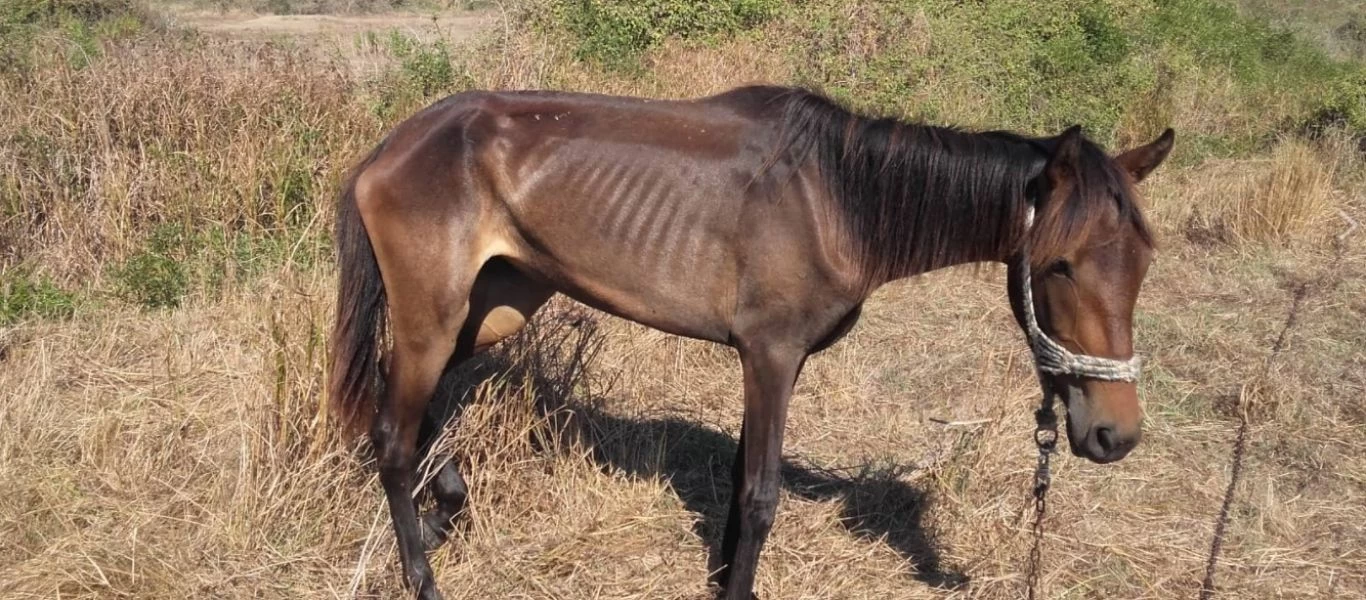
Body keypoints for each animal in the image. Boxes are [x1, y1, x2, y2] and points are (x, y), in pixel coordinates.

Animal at [327, 84, 1174, 600]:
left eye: (1143, 260)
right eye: (1059, 266)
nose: (1115, 433)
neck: (839, 198)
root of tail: (391, 147)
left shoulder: (774, 364)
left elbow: (740, 487)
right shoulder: (768, 355)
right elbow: (762, 496)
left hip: (493, 306)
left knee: (429, 410)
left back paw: (444, 510)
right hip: (432, 315)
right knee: (393, 435)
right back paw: (423, 574)